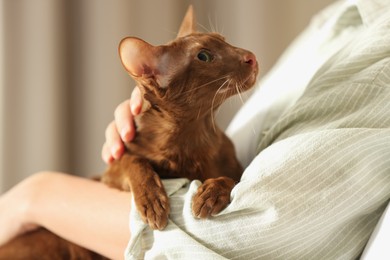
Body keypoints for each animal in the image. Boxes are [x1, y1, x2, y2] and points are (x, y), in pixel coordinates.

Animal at [0, 5, 258, 258]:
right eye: (204, 56)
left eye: (225, 42)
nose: (251, 57)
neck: (192, 136)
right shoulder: (110, 170)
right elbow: (133, 161)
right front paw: (152, 201)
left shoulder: (235, 168)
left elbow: (233, 179)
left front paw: (210, 194)